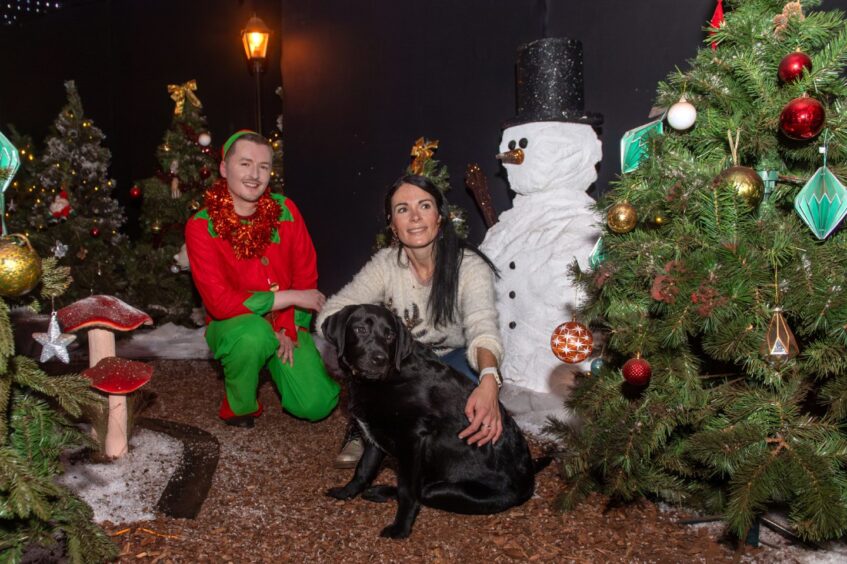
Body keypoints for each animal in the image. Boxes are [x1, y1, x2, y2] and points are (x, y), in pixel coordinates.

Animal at [322, 304, 548, 536]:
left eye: (390, 335)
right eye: (360, 329)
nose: (380, 359)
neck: (385, 380)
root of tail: (529, 480)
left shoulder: (412, 441)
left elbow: (407, 490)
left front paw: (400, 529)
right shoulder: (374, 435)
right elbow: (363, 468)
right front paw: (346, 492)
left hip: (448, 489)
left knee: (422, 492)